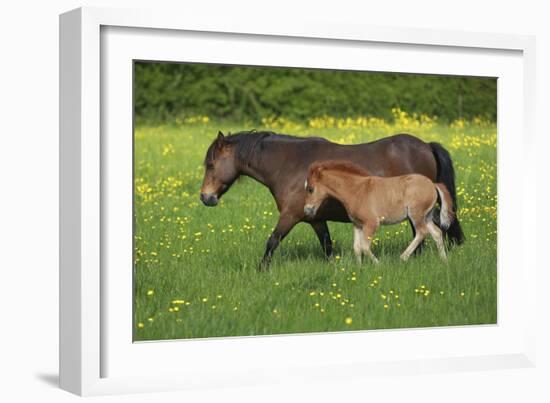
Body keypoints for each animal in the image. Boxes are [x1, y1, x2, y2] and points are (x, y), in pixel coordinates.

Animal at [304, 161, 454, 266]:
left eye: (311, 189)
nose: (307, 210)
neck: (356, 190)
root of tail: (433, 184)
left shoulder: (371, 223)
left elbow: (364, 246)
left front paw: (378, 264)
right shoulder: (357, 224)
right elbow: (357, 247)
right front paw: (359, 268)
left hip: (416, 215)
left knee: (422, 232)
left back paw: (403, 257)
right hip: (426, 216)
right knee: (437, 233)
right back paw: (444, 260)